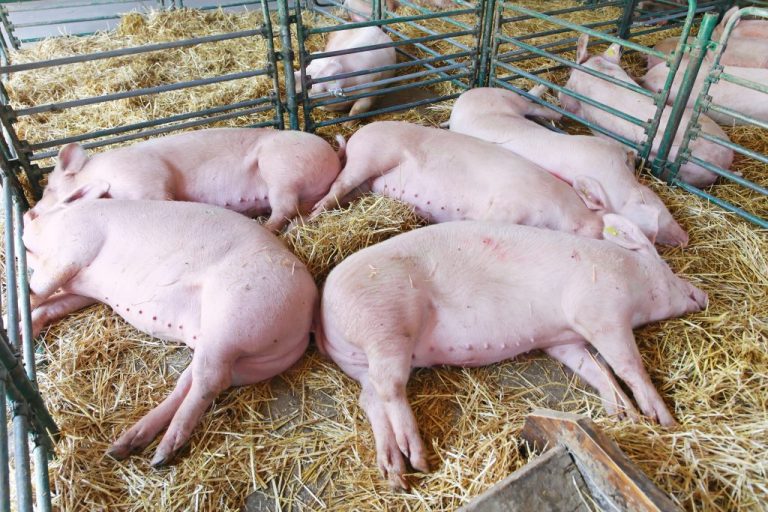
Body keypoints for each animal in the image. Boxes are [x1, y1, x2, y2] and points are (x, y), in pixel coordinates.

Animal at [24, 192, 317, 466]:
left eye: (44, 205)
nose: (28, 215)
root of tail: (308, 313)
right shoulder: (83, 291)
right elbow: (49, 306)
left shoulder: (73, 249)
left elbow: (37, 292)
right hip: (235, 357)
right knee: (192, 382)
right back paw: (123, 447)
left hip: (230, 322)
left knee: (209, 382)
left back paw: (162, 454)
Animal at [26, 128, 344, 232]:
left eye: (50, 188)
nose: (29, 213)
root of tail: (332, 153)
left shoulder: (148, 179)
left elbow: (163, 199)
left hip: (280, 169)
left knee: (284, 209)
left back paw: (265, 228)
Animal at [309, 121, 606, 239]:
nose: (599, 229)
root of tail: (356, 135)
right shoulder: (512, 203)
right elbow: (492, 221)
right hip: (367, 158)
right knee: (337, 186)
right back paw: (310, 217)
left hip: (367, 181)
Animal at [317, 216, 707, 489]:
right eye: (668, 269)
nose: (701, 293)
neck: (631, 275)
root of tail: (324, 311)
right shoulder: (600, 313)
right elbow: (628, 365)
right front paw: (663, 420)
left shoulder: (563, 341)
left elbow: (598, 370)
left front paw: (624, 415)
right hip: (387, 324)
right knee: (390, 388)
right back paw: (419, 459)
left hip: (366, 359)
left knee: (370, 398)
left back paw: (395, 473)